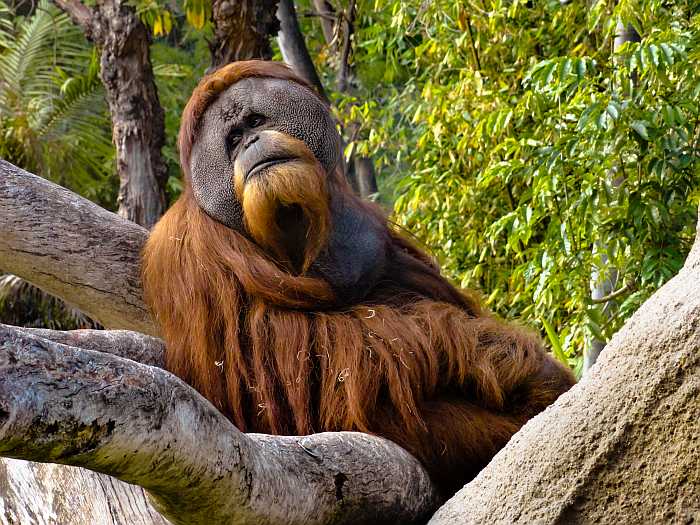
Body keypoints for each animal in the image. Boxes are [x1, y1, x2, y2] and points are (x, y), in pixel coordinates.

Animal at [142, 60, 576, 498]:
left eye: (255, 121)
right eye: (232, 140)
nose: (251, 142)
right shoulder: (195, 253)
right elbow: (296, 350)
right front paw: (509, 356)